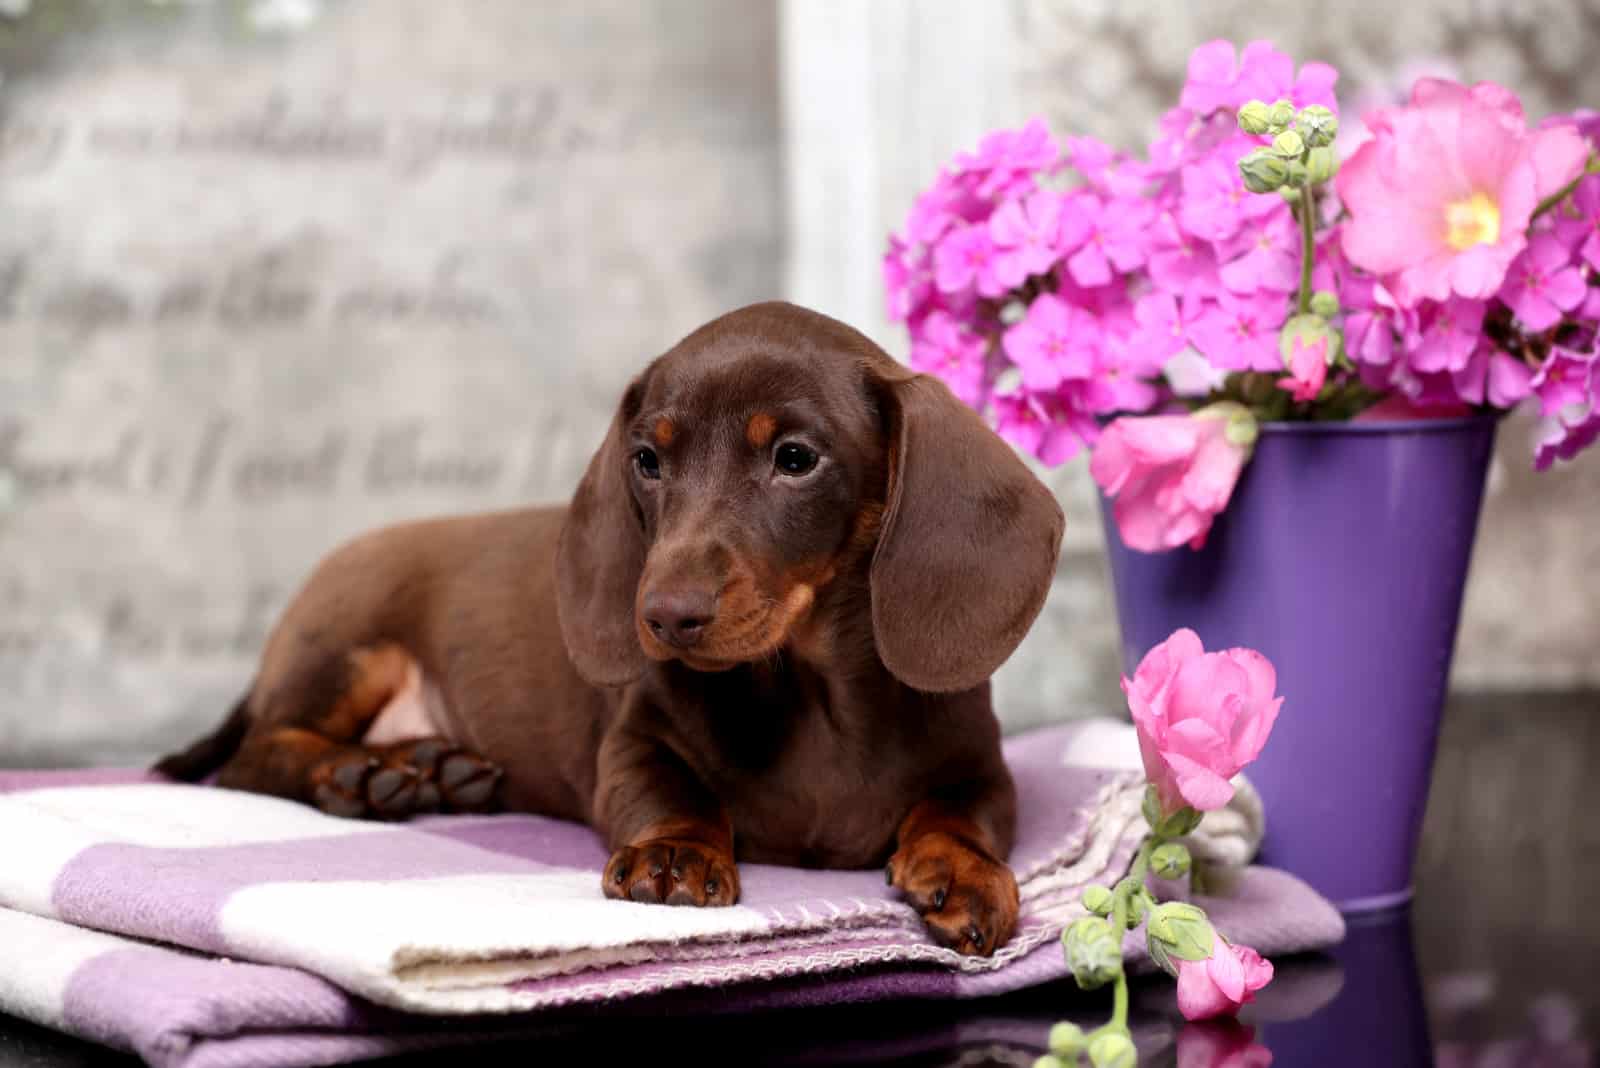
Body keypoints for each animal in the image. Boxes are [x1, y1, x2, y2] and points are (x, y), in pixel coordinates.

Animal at [159, 302, 1062, 959]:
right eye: (647, 461)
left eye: (796, 458)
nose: (663, 615)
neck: (809, 690)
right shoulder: (629, 746)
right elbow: (667, 789)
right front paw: (676, 853)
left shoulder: (981, 765)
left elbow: (960, 812)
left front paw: (965, 873)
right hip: (349, 647)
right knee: (257, 753)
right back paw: (358, 773)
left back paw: (427, 769)